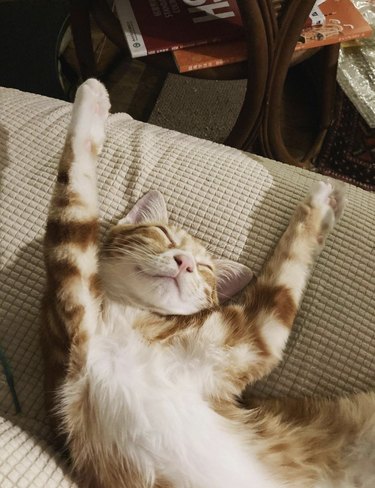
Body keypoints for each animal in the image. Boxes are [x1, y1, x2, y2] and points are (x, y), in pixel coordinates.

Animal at [41, 78, 375, 486]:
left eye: (203, 268)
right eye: (163, 235)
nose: (184, 262)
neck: (130, 321)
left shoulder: (253, 337)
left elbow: (289, 265)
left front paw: (323, 205)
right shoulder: (72, 309)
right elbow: (76, 187)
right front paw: (91, 101)